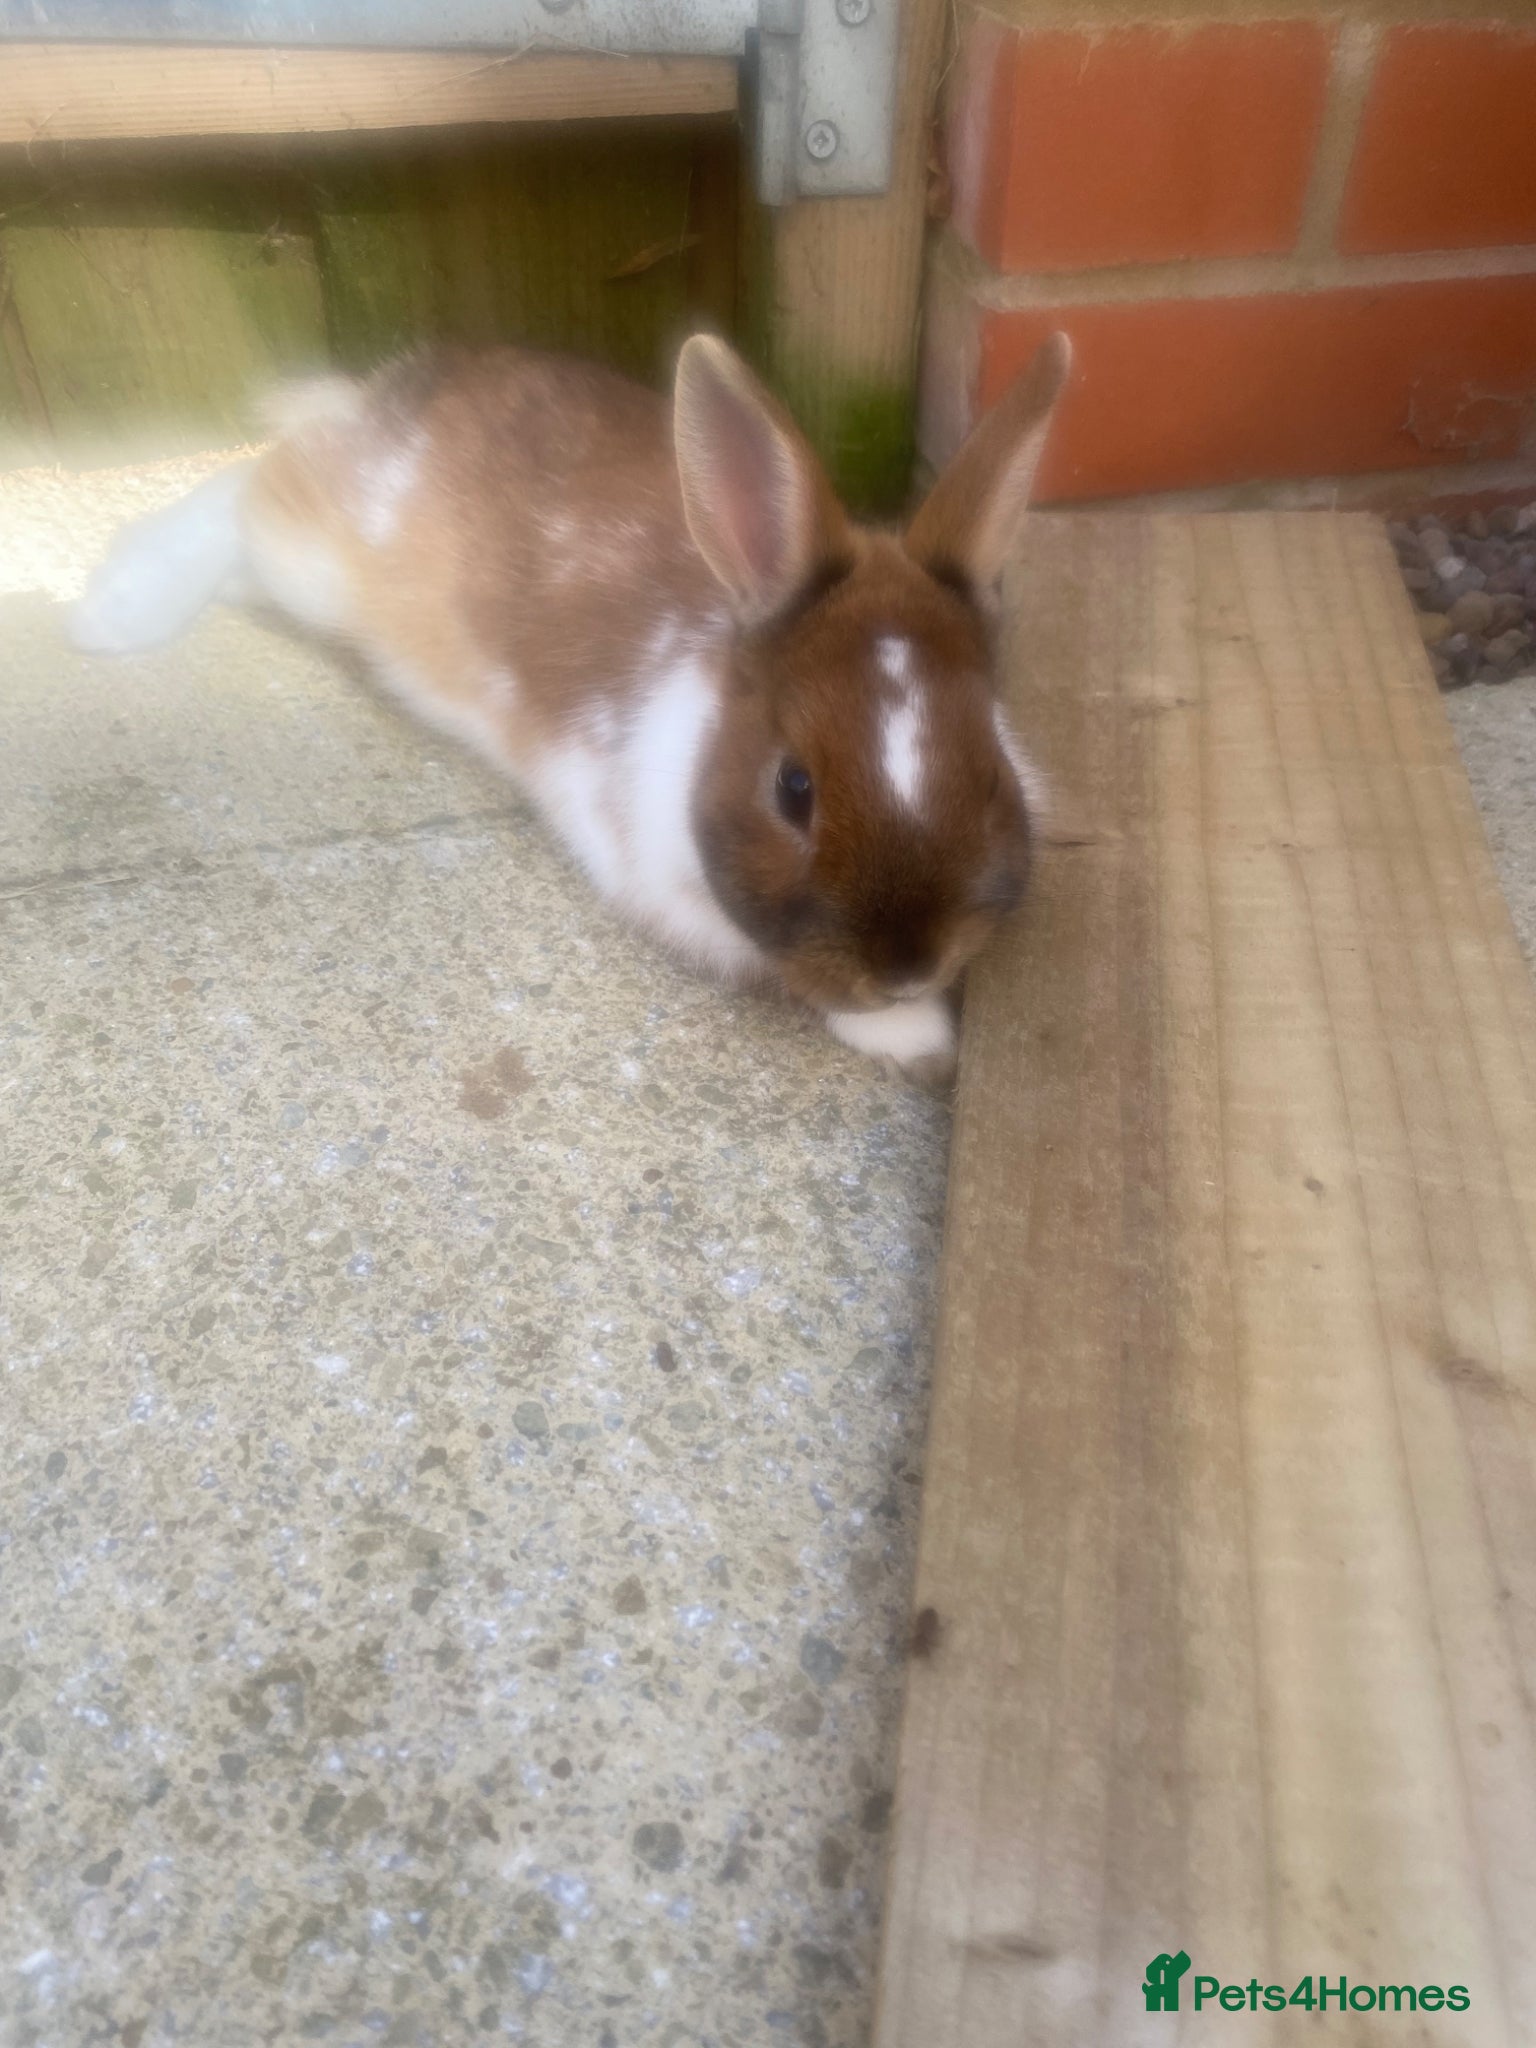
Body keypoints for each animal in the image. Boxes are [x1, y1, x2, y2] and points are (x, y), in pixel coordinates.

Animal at [68, 329, 1070, 1082]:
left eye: (991, 771)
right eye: (794, 789)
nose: (908, 963)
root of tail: (382, 396)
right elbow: (801, 978)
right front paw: (912, 1036)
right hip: (313, 557)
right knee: (242, 489)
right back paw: (114, 612)